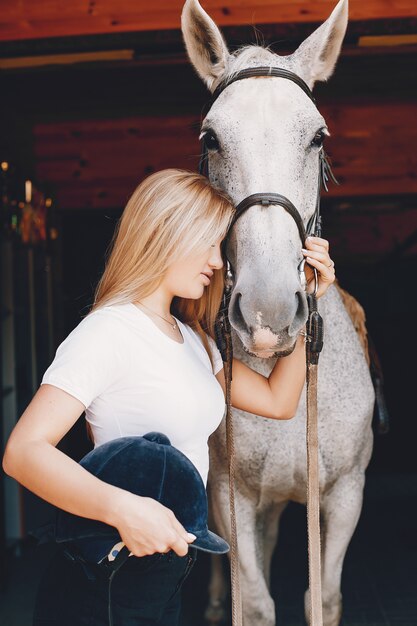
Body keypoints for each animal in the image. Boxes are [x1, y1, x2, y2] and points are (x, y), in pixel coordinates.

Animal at [181, 1, 374, 624]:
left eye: (317, 137)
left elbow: (324, 596)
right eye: (211, 138)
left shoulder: (344, 495)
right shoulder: (233, 496)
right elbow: (256, 600)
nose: (267, 311)